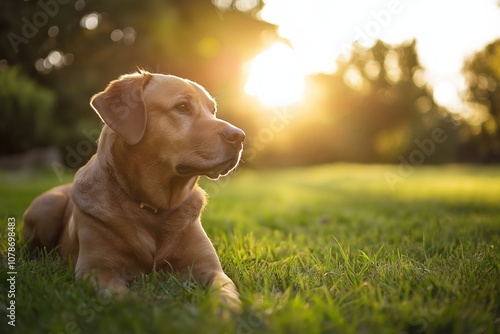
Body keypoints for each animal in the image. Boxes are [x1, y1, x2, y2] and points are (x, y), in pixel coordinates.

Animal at [22, 71, 245, 310]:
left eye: (212, 110)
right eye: (182, 106)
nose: (239, 136)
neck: (154, 207)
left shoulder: (210, 268)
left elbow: (226, 292)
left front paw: (225, 312)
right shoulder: (96, 270)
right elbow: (128, 299)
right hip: (47, 207)